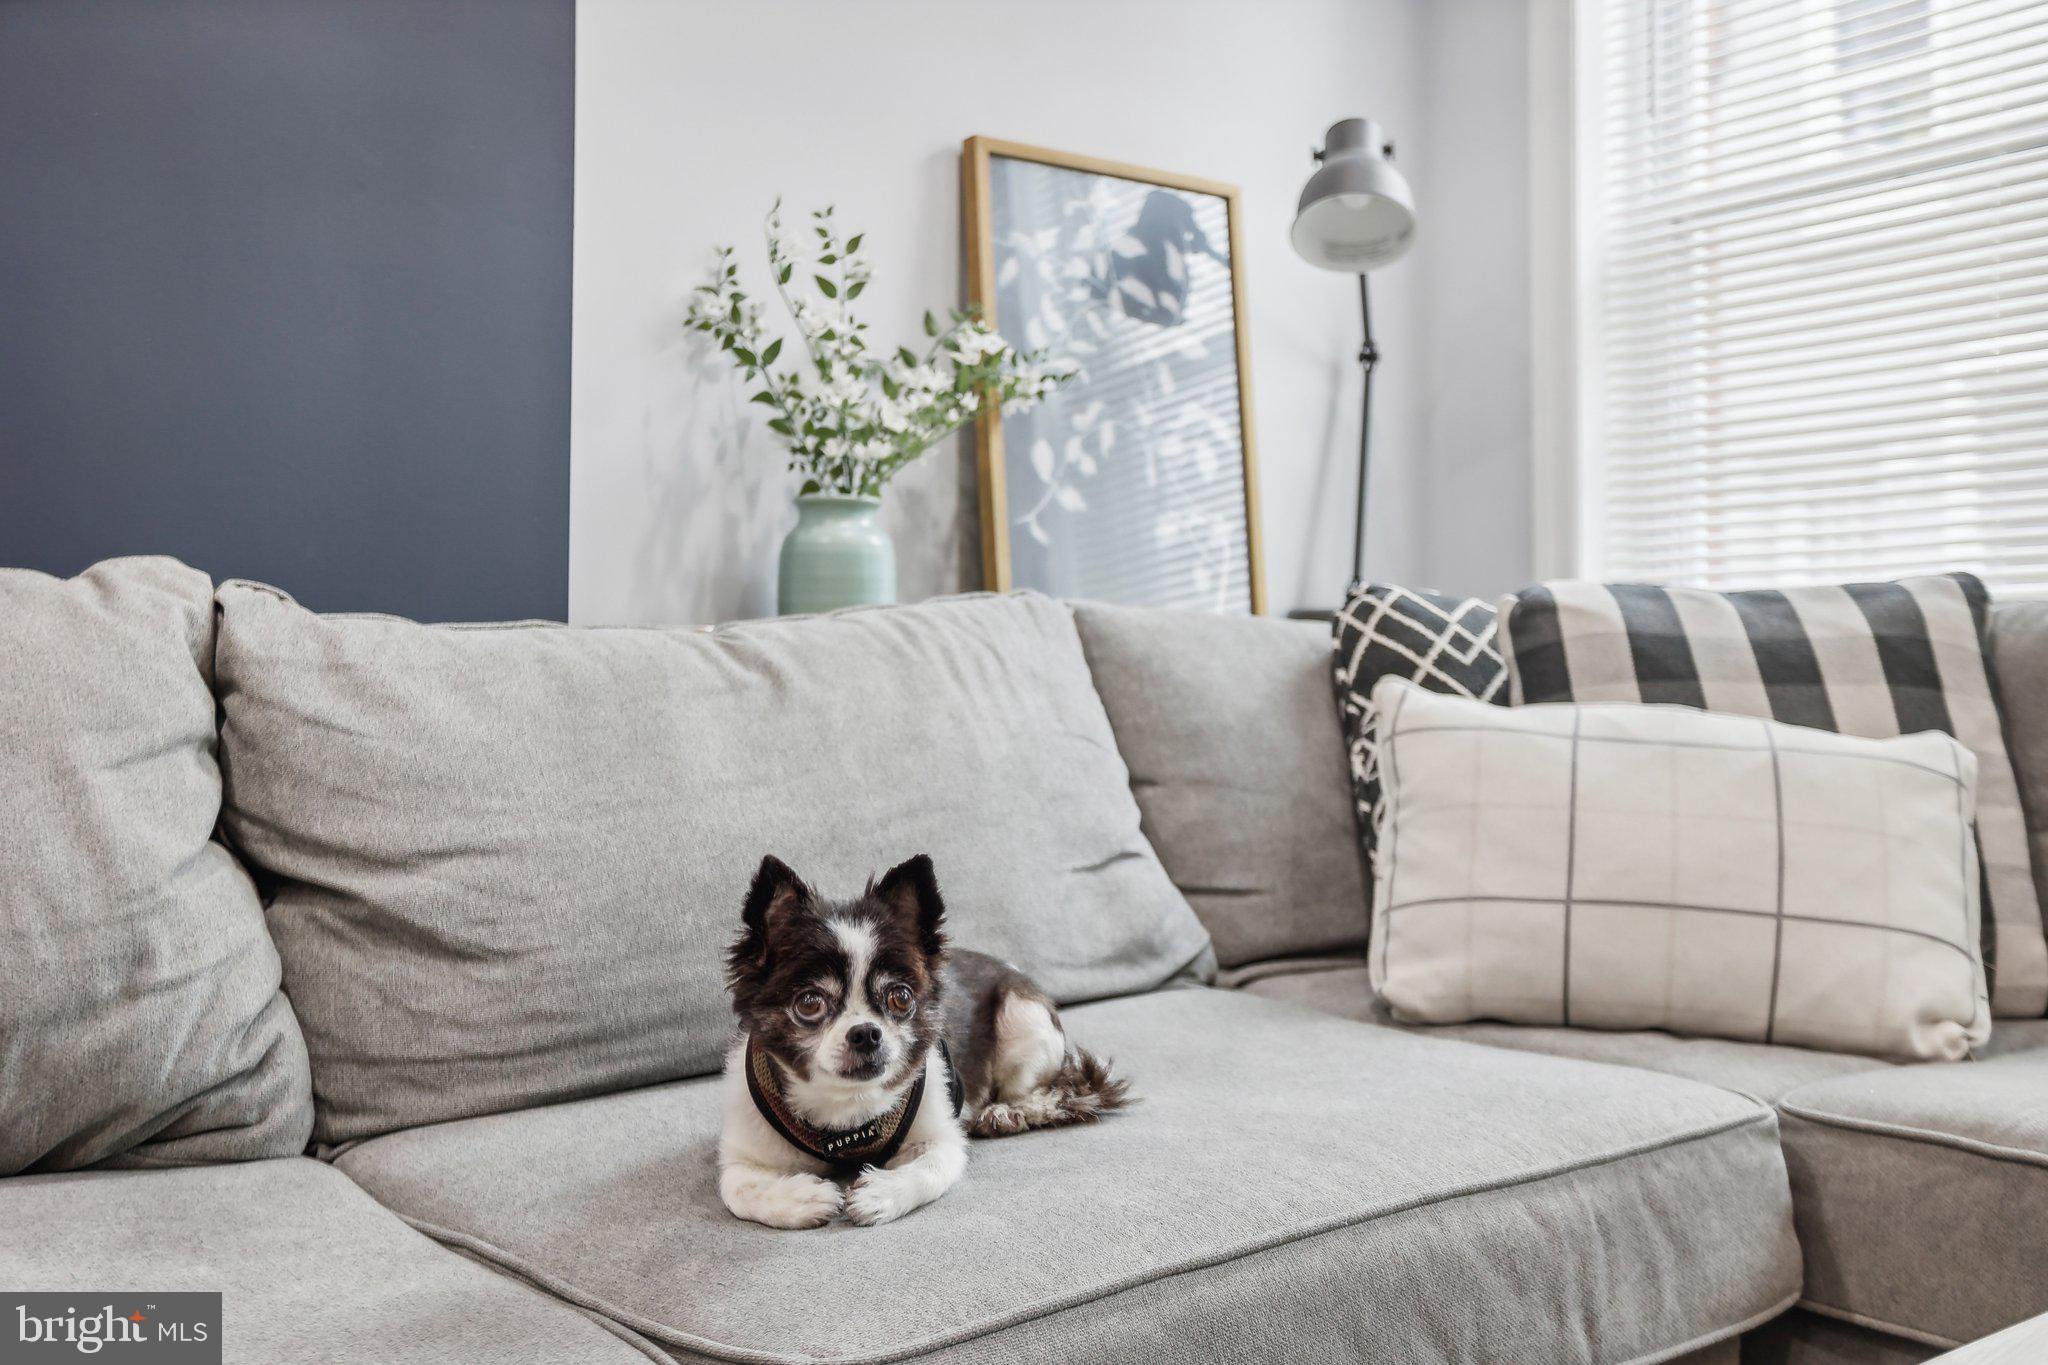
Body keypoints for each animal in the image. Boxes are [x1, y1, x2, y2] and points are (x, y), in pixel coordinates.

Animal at [720, 855, 1130, 1227]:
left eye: (901, 998)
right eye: (809, 1003)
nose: (866, 1032)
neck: (846, 1113)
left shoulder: (941, 1133)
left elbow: (932, 1167)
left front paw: (880, 1194)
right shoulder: (742, 1153)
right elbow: (736, 1189)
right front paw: (804, 1198)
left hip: (1023, 1019)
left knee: (1039, 1088)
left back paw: (1005, 1112)